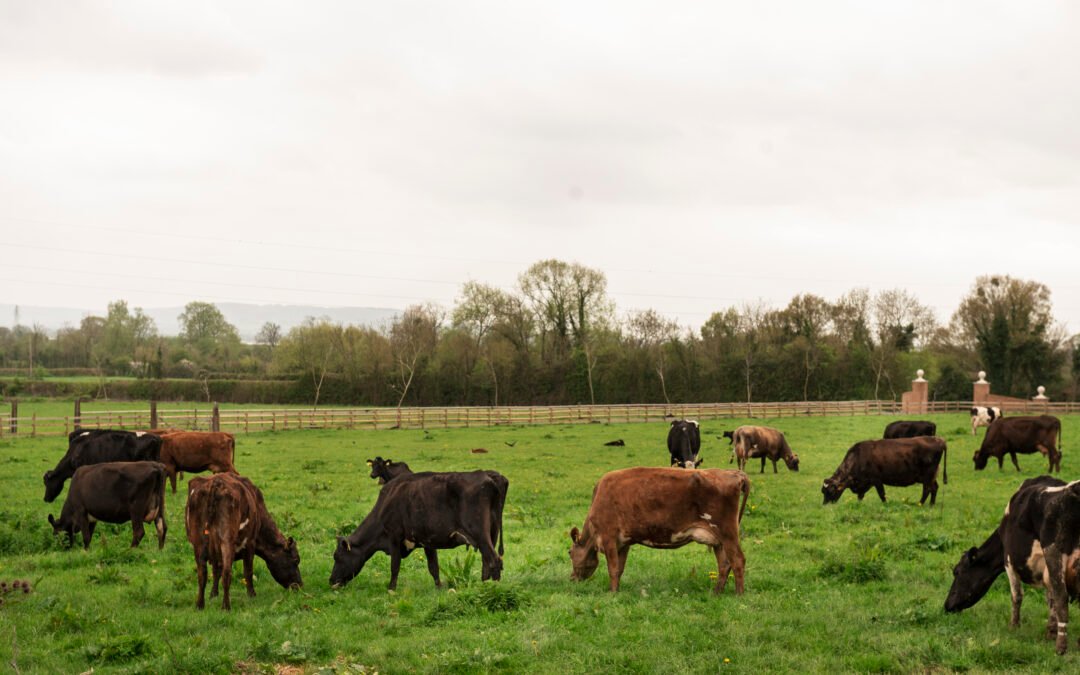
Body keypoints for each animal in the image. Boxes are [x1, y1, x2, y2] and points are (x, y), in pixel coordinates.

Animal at [185, 468, 302, 609]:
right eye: (296, 560)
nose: (300, 585)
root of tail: (216, 483)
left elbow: (216, 571)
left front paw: (213, 594)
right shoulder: (250, 543)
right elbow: (248, 571)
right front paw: (252, 594)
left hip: (199, 542)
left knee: (202, 573)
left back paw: (200, 605)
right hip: (227, 540)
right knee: (227, 573)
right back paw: (226, 607)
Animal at [330, 468, 507, 587]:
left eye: (337, 557)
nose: (330, 581)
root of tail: (489, 474)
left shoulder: (394, 536)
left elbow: (395, 566)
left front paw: (391, 589)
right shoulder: (428, 540)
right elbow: (433, 567)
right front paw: (439, 588)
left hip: (479, 534)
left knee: (494, 560)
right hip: (492, 533)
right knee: (487, 562)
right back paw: (483, 585)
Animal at [565, 466, 751, 591]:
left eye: (570, 552)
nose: (572, 578)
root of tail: (734, 473)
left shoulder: (608, 536)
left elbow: (612, 568)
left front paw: (611, 593)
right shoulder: (623, 542)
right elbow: (619, 569)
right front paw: (616, 591)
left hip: (727, 532)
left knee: (738, 560)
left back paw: (739, 595)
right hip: (718, 540)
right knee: (724, 564)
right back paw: (716, 593)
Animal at [820, 434, 950, 503]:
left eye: (830, 491)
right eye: (823, 492)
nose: (825, 505)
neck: (858, 456)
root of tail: (938, 439)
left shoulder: (877, 480)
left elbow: (882, 495)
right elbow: (860, 496)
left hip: (927, 476)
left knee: (927, 489)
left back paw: (920, 503)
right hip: (931, 476)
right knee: (934, 488)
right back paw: (931, 505)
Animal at [946, 473, 1080, 652]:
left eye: (957, 572)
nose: (947, 606)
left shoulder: (1009, 561)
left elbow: (1017, 595)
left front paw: (1014, 626)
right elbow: (1049, 598)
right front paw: (1050, 631)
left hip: (1054, 553)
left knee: (1062, 597)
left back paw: (1061, 648)